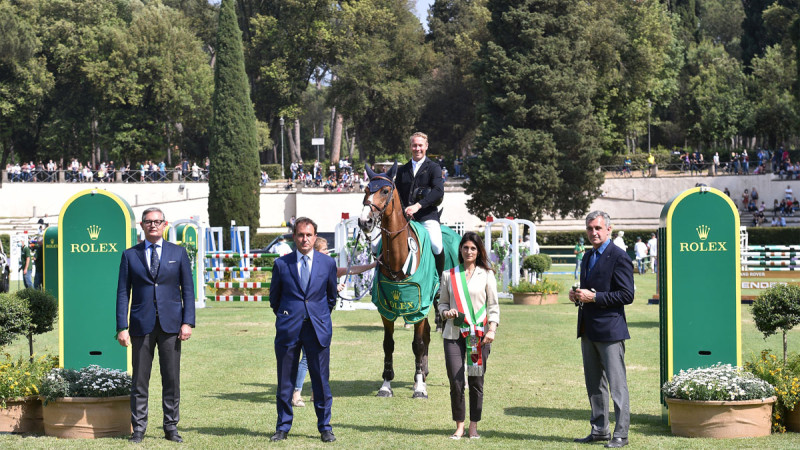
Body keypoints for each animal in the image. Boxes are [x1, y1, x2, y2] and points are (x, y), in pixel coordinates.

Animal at [356, 163, 444, 398]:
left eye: (385, 191)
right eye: (365, 190)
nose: (365, 221)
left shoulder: (419, 306)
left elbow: (418, 343)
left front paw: (420, 387)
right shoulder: (386, 309)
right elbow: (388, 344)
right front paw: (386, 385)